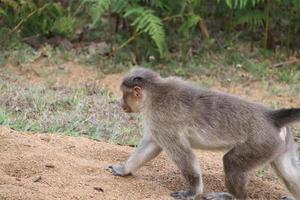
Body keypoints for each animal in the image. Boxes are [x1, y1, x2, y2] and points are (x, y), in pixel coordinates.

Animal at [109, 67, 300, 200]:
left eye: (124, 95)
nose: (120, 103)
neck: (154, 93)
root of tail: (271, 116)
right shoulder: (157, 123)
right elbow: (151, 146)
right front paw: (125, 170)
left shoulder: (161, 119)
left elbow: (183, 155)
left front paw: (192, 192)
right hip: (277, 144)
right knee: (288, 171)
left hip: (260, 142)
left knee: (231, 162)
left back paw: (233, 196)